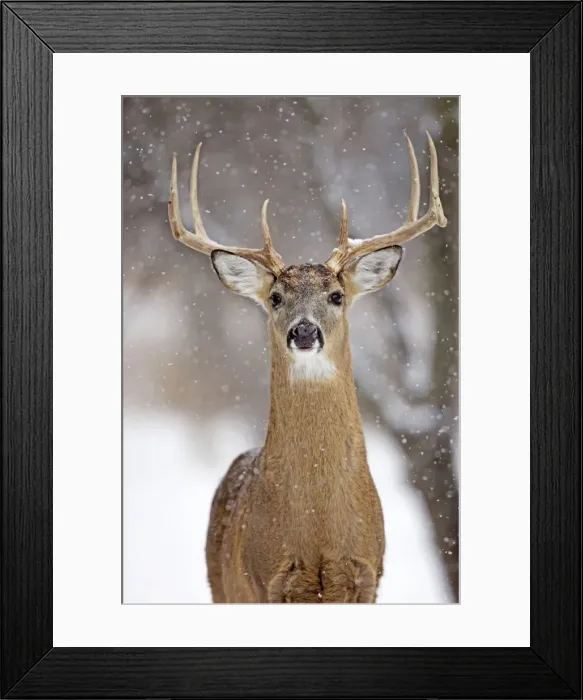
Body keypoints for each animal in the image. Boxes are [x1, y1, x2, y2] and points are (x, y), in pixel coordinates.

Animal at [168, 132, 446, 603]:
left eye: (336, 295)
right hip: (220, 587)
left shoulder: (367, 577)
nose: (303, 331)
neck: (319, 529)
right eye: (276, 297)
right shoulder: (267, 582)